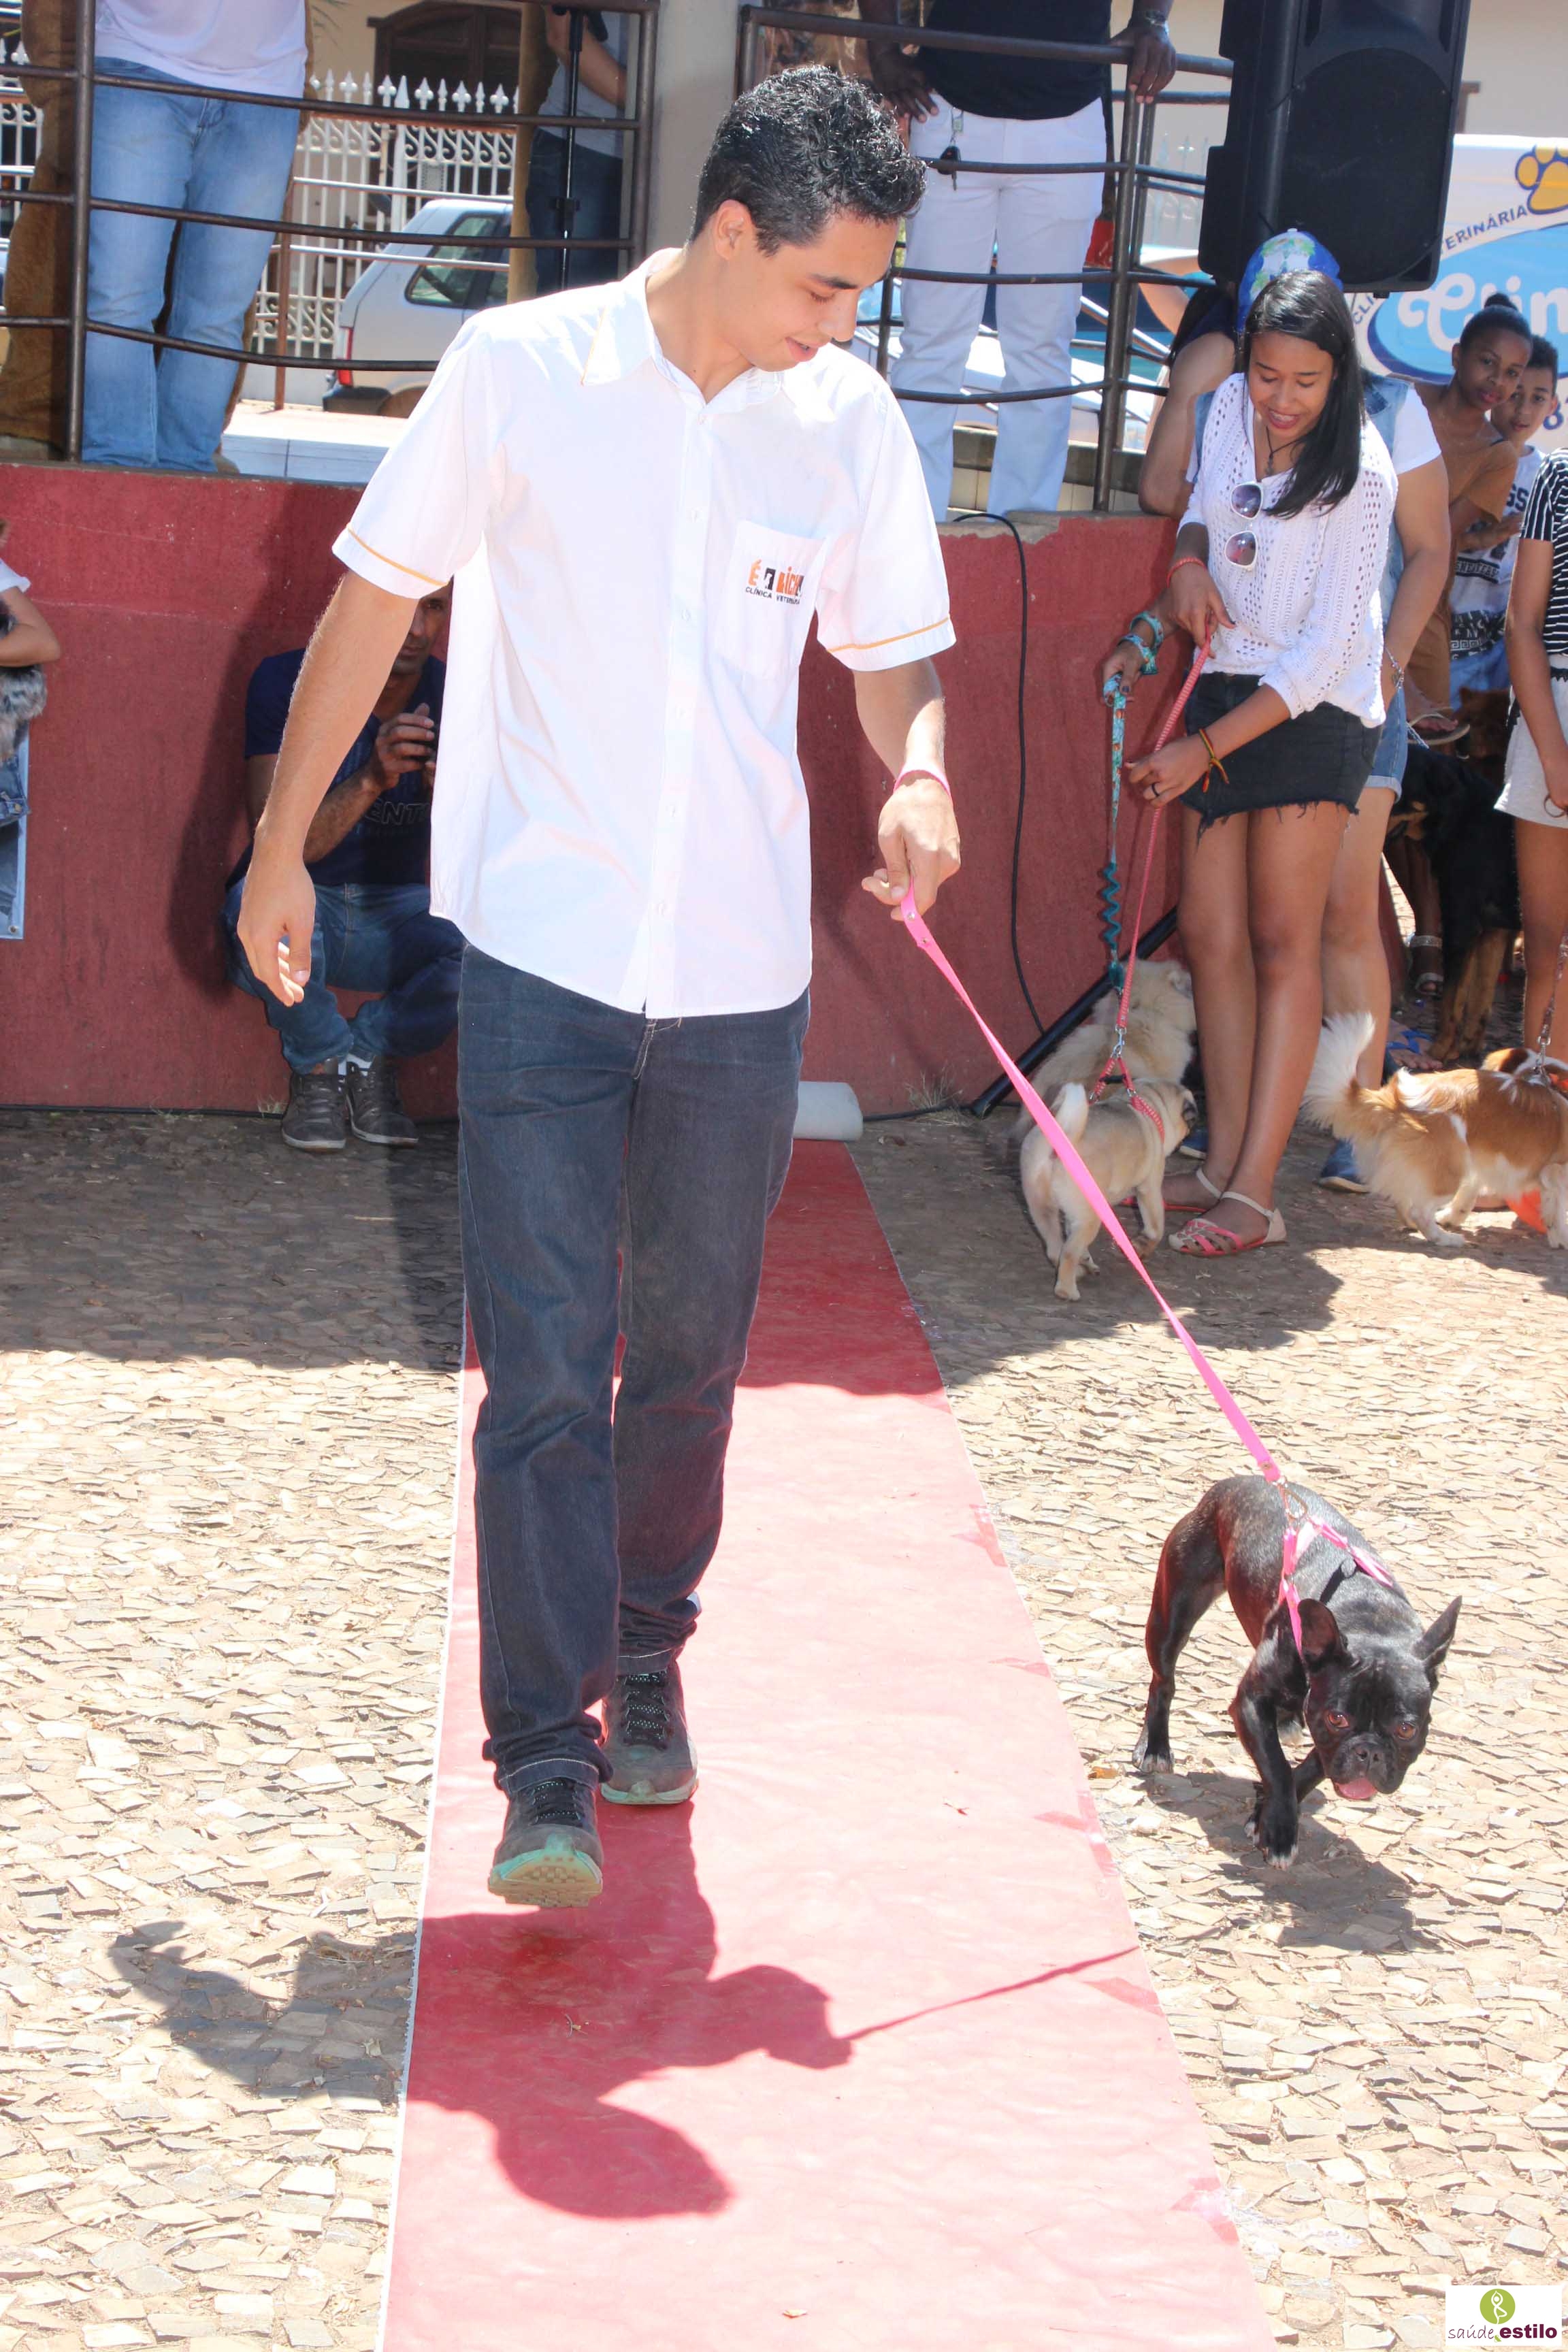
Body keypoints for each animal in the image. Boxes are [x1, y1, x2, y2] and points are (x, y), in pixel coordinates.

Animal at [1020, 1077, 1195, 1300]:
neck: (1149, 1104)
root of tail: (1061, 1140)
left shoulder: (1072, 1214)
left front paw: (1087, 1261)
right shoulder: (1150, 1188)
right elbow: (1156, 1228)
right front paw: (1143, 1245)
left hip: (1042, 1208)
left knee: (1055, 1248)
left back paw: (1076, 1272)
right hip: (1090, 1217)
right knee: (1068, 1253)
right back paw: (1067, 1291)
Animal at [1134, 1476, 1461, 1868]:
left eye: (1406, 1729)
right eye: (1338, 1718)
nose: (1370, 1752)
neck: (1371, 1620)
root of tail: (1230, 1485)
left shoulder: (1326, 1739)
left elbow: (1308, 1771)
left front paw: (1265, 1816)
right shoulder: (1252, 1703)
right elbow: (1277, 1768)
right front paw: (1278, 1832)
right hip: (1173, 1614)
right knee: (1163, 1681)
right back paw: (1155, 1747)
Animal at [1304, 1014, 1568, 1247]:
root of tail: (1396, 1099)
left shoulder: (1484, 1160)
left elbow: (1470, 1193)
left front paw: (1452, 1217)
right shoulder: (1556, 1172)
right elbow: (1558, 1209)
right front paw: (1561, 1238)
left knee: (1405, 1200)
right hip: (1448, 1171)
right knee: (1420, 1210)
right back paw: (1444, 1239)